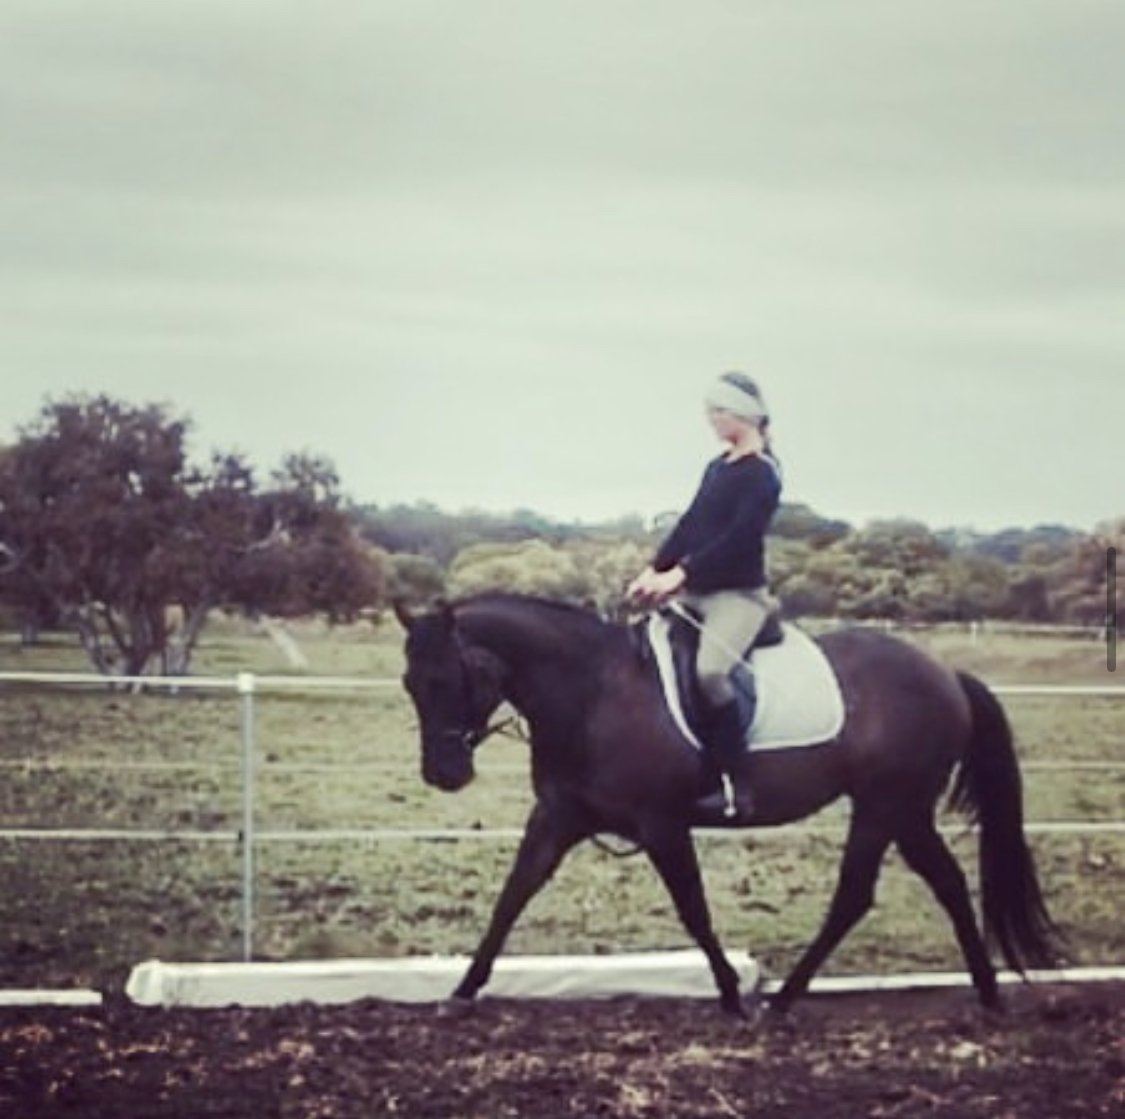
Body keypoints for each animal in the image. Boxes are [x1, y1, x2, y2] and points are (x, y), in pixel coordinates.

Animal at [395, 591, 1061, 1016]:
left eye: (448, 679)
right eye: (410, 683)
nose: (443, 774)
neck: (592, 691)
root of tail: (947, 674)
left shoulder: (661, 824)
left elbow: (694, 911)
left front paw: (733, 997)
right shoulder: (559, 817)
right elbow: (512, 897)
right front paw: (461, 993)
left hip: (885, 805)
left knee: (858, 894)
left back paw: (785, 1001)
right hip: (902, 810)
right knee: (941, 882)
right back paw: (985, 994)